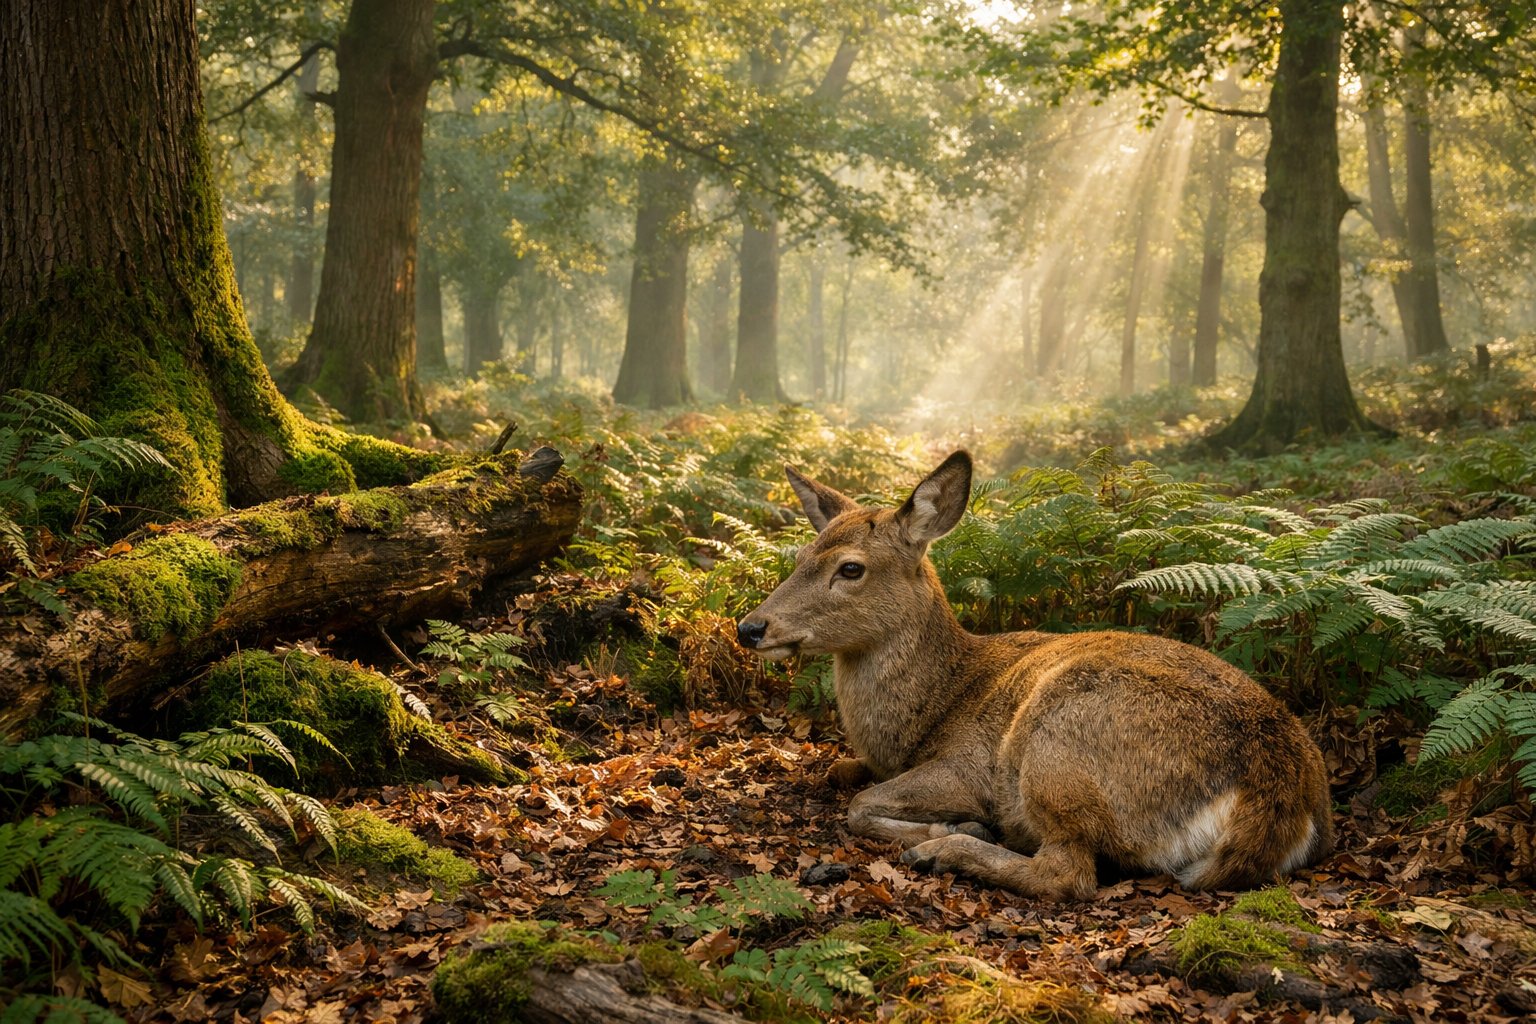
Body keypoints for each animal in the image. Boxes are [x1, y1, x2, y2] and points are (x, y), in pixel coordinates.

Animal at [735, 450, 1333, 901]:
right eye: (802, 555)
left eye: (851, 567)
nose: (751, 626)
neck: (928, 709)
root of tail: (1277, 795)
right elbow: (840, 773)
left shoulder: (967, 767)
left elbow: (859, 807)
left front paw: (950, 825)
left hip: (1058, 742)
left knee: (1068, 874)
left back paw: (945, 848)